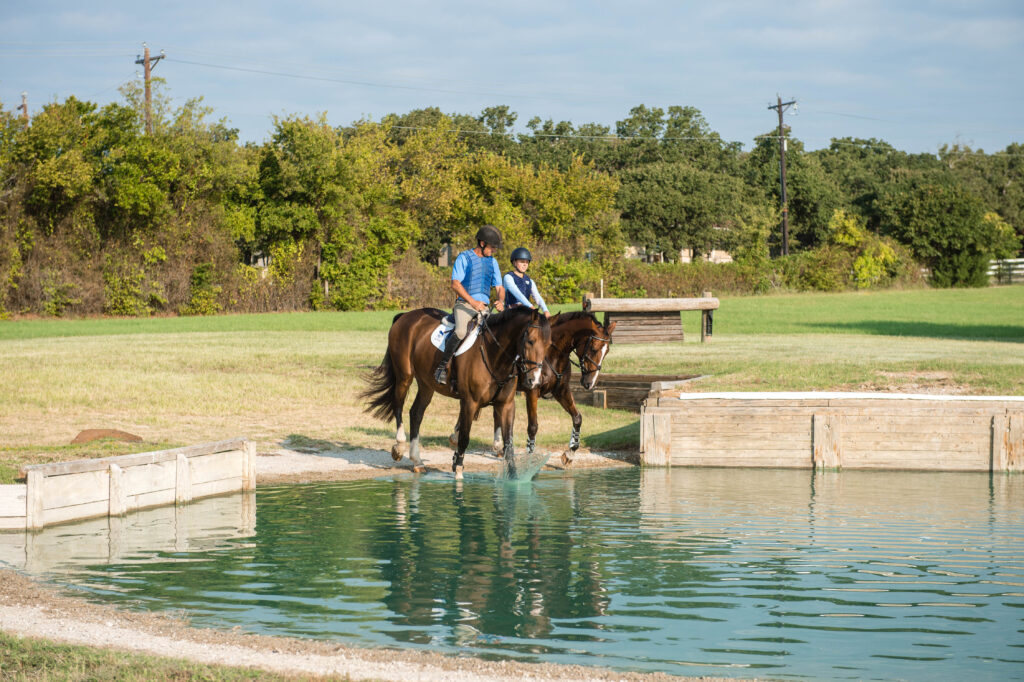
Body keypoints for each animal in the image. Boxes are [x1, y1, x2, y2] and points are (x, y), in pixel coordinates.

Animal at [361, 307, 551, 478]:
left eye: (548, 344)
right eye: (531, 341)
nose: (535, 380)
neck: (494, 355)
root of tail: (406, 315)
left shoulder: (506, 405)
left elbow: (508, 444)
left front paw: (513, 477)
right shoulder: (469, 402)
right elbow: (464, 438)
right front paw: (458, 469)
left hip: (426, 384)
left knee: (416, 413)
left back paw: (417, 461)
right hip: (404, 376)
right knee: (398, 405)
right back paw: (399, 447)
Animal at [449, 311, 615, 466]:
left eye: (606, 351)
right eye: (593, 349)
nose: (589, 383)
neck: (553, 354)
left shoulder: (561, 390)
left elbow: (577, 418)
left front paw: (570, 453)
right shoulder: (532, 391)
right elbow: (533, 426)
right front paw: (530, 456)